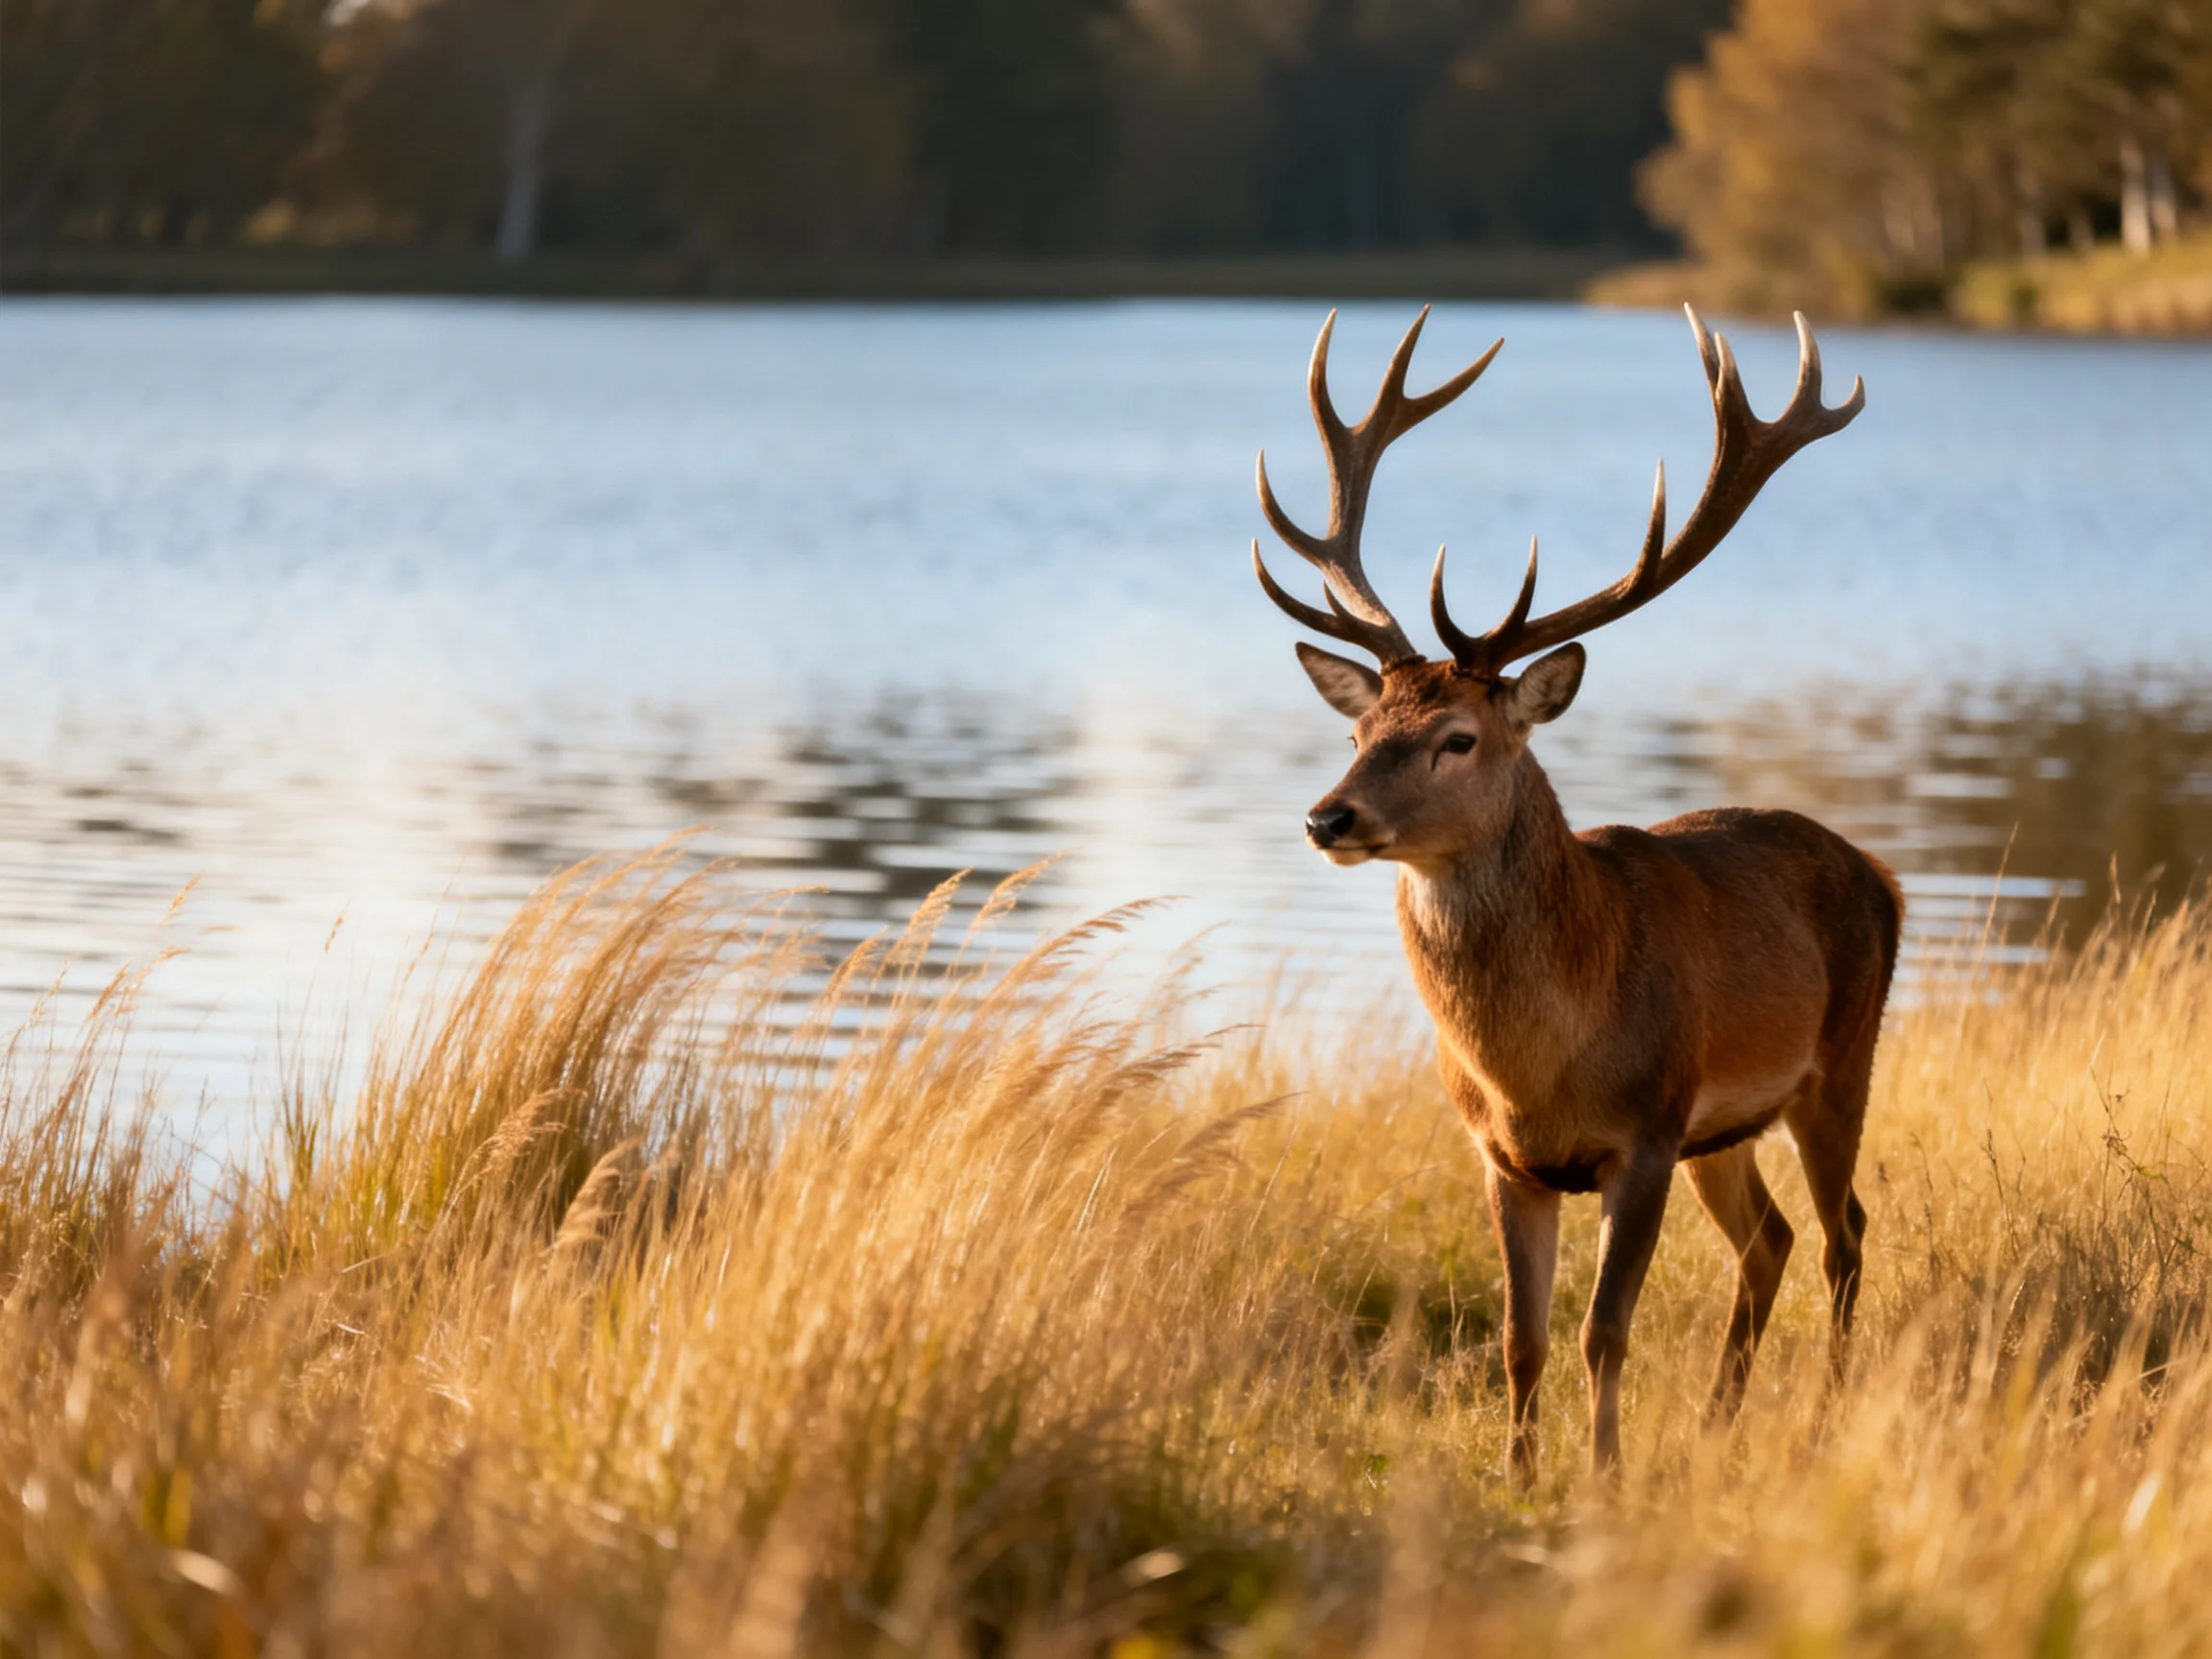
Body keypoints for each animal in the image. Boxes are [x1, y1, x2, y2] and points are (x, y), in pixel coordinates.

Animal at [1250, 305, 1901, 1481]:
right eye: (1360, 731)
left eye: (1458, 738)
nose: (1328, 818)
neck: (1536, 1068)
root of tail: (1880, 873)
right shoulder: (1505, 1157)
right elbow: (1523, 1334)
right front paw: (1518, 1474)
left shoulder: (1645, 1130)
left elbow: (1606, 1329)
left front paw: (1601, 1476)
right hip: (1726, 1131)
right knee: (1773, 1239)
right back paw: (1718, 1422)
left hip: (1840, 1064)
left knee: (1845, 1235)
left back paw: (1826, 1417)